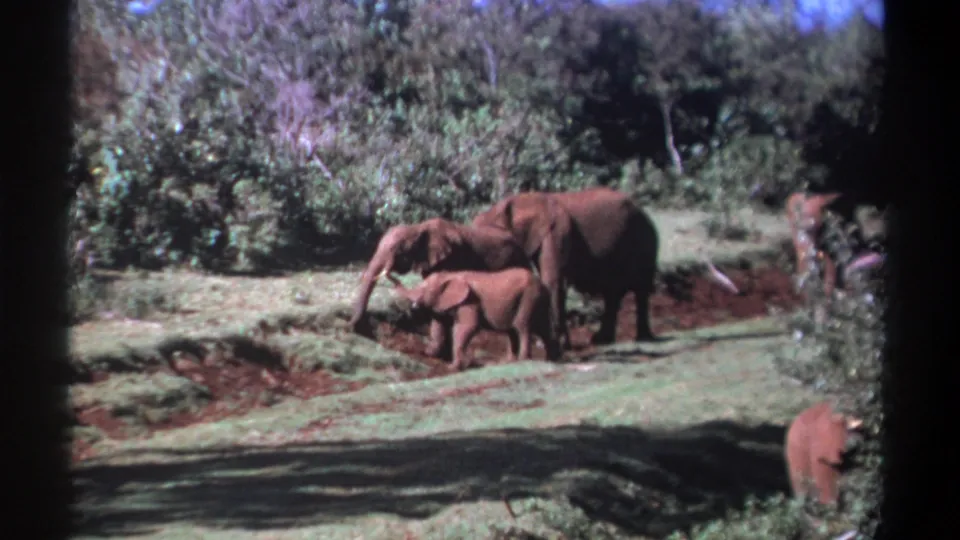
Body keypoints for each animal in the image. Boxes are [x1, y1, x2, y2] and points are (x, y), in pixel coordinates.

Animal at [348, 217, 533, 357]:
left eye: (397, 249)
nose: (353, 328)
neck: (418, 228)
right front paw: (438, 353)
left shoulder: (452, 258)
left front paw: (432, 352)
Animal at [392, 268, 562, 370]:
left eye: (424, 290)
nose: (387, 271)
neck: (450, 275)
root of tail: (542, 284)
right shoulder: (443, 303)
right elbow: (438, 326)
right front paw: (431, 353)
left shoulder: (470, 301)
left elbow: (467, 327)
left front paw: (454, 367)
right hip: (536, 300)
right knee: (537, 329)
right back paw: (547, 360)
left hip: (529, 297)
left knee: (521, 326)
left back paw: (523, 360)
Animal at [472, 186, 660, 346]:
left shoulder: (557, 231)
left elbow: (553, 280)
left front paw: (551, 343)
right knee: (613, 292)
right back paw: (602, 340)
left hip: (645, 239)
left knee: (640, 288)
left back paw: (643, 338)